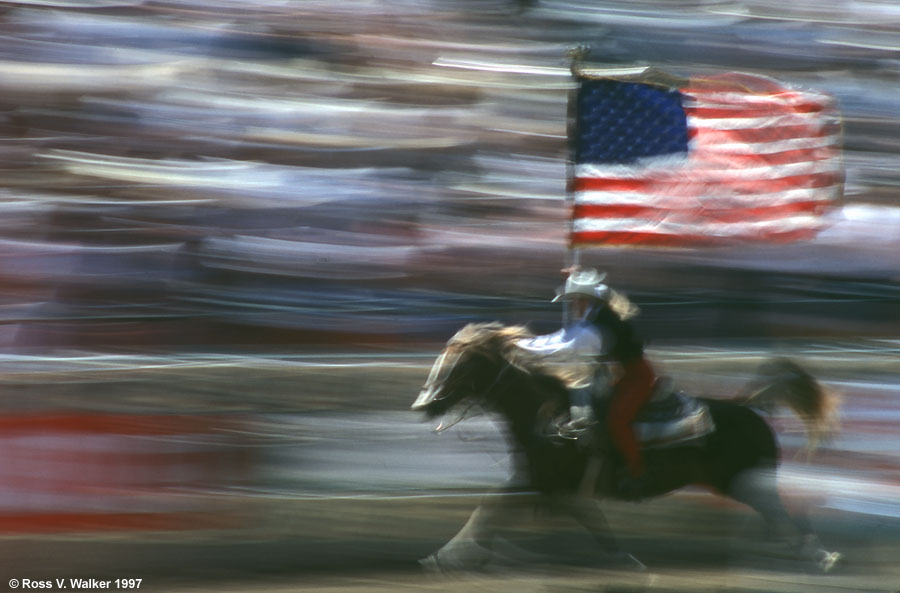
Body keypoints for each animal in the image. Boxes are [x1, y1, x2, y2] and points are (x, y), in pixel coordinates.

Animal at [412, 322, 840, 572]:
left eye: (459, 363)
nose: (422, 405)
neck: (545, 415)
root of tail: (749, 407)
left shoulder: (547, 485)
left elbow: (489, 508)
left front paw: (445, 556)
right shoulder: (545, 486)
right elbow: (495, 511)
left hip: (746, 481)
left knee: (785, 515)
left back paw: (821, 556)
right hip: (745, 483)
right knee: (778, 518)